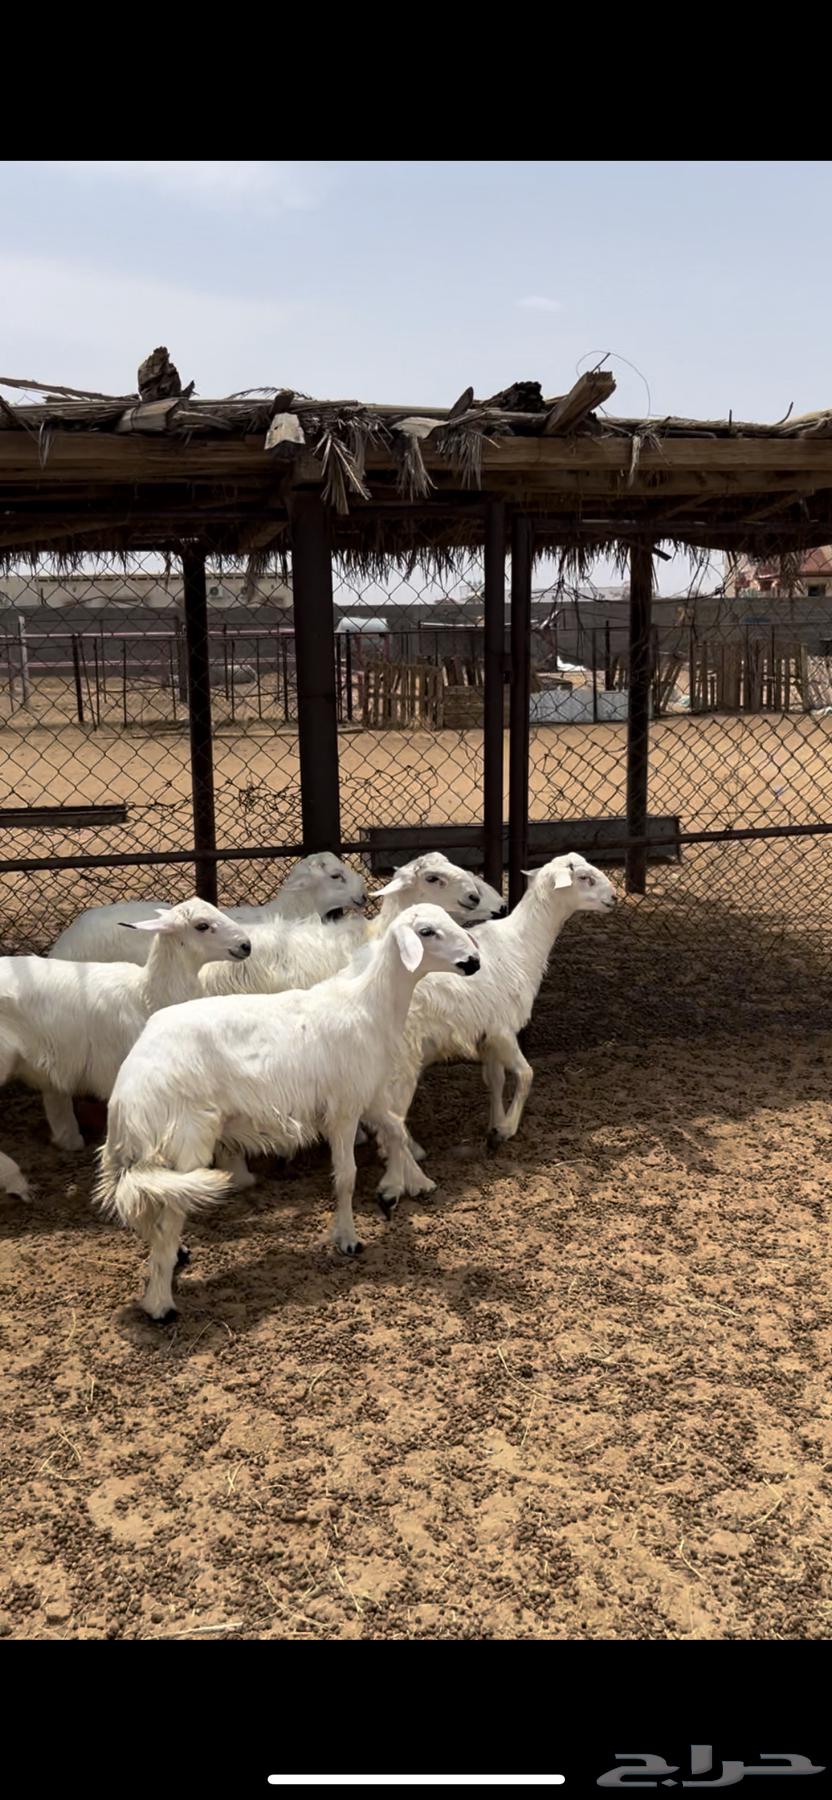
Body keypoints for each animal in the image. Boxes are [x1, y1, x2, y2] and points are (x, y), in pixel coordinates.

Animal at [95, 903, 482, 1320]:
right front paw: (348, 1238)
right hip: (185, 1140)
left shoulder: (370, 1094)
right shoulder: (343, 1107)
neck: (369, 1005)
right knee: (167, 1215)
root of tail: (128, 1094)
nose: (474, 962)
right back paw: (160, 1303)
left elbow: (394, 1129)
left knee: (150, 1209)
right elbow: (346, 1176)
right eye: (426, 932)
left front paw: (399, 1186)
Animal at [368, 853, 616, 1204]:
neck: (522, 944)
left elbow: (495, 1079)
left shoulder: (487, 1034)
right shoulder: (503, 1028)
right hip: (402, 1061)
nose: (614, 898)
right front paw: (505, 1130)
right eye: (585, 878)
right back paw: (412, 1180)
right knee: (393, 1120)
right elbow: (526, 1074)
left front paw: (494, 1123)